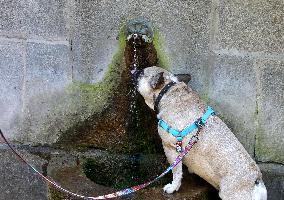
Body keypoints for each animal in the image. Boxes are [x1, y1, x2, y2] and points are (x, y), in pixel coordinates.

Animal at [134, 66, 268, 199]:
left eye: (141, 73)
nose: (133, 71)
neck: (168, 90)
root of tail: (256, 180)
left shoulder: (170, 149)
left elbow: (176, 172)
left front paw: (173, 187)